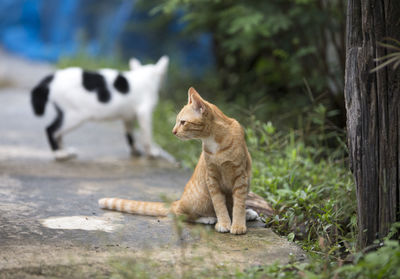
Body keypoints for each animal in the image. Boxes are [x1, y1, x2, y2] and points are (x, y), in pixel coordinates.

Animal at [30, 55, 170, 161]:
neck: (144, 76)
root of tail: (51, 78)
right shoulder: (144, 113)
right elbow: (147, 135)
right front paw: (151, 152)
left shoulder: (128, 117)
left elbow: (130, 135)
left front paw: (135, 151)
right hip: (74, 116)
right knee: (51, 130)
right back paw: (59, 154)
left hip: (66, 114)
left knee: (58, 133)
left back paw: (65, 151)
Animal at [98, 87, 255, 234]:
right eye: (176, 122)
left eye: (183, 122)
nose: (173, 131)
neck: (215, 141)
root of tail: (179, 201)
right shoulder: (212, 178)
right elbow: (219, 204)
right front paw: (224, 223)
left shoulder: (241, 177)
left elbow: (239, 204)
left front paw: (238, 224)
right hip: (198, 200)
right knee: (181, 215)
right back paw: (207, 218)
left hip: (247, 182)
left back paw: (248, 213)